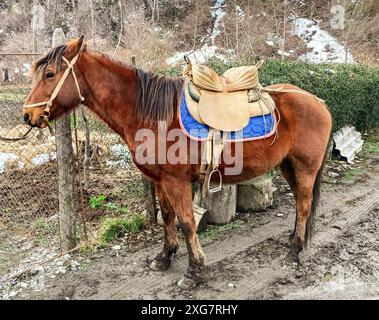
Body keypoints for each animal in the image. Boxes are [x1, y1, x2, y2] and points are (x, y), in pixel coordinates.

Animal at [23, 37, 332, 288]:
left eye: (50, 74)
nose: (27, 115)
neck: (151, 115)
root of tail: (317, 101)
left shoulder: (176, 181)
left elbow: (186, 222)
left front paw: (194, 271)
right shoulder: (160, 181)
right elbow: (167, 216)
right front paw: (164, 257)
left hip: (305, 168)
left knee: (304, 205)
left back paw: (294, 251)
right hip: (288, 166)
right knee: (299, 203)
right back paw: (294, 240)